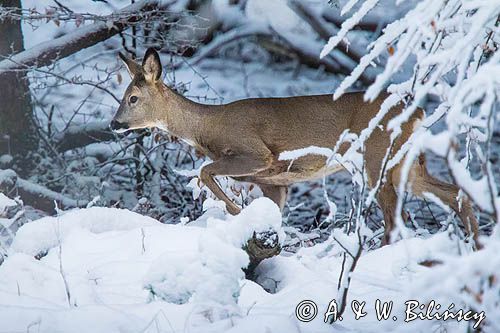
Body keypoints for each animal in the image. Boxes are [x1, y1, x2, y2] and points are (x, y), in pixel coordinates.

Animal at [111, 47, 478, 244]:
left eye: (132, 98)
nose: (114, 124)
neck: (209, 127)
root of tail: (416, 111)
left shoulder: (257, 153)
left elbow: (204, 170)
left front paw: (236, 212)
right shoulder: (276, 181)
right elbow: (271, 211)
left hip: (378, 156)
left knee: (393, 219)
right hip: (407, 163)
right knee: (454, 193)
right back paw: (475, 246)